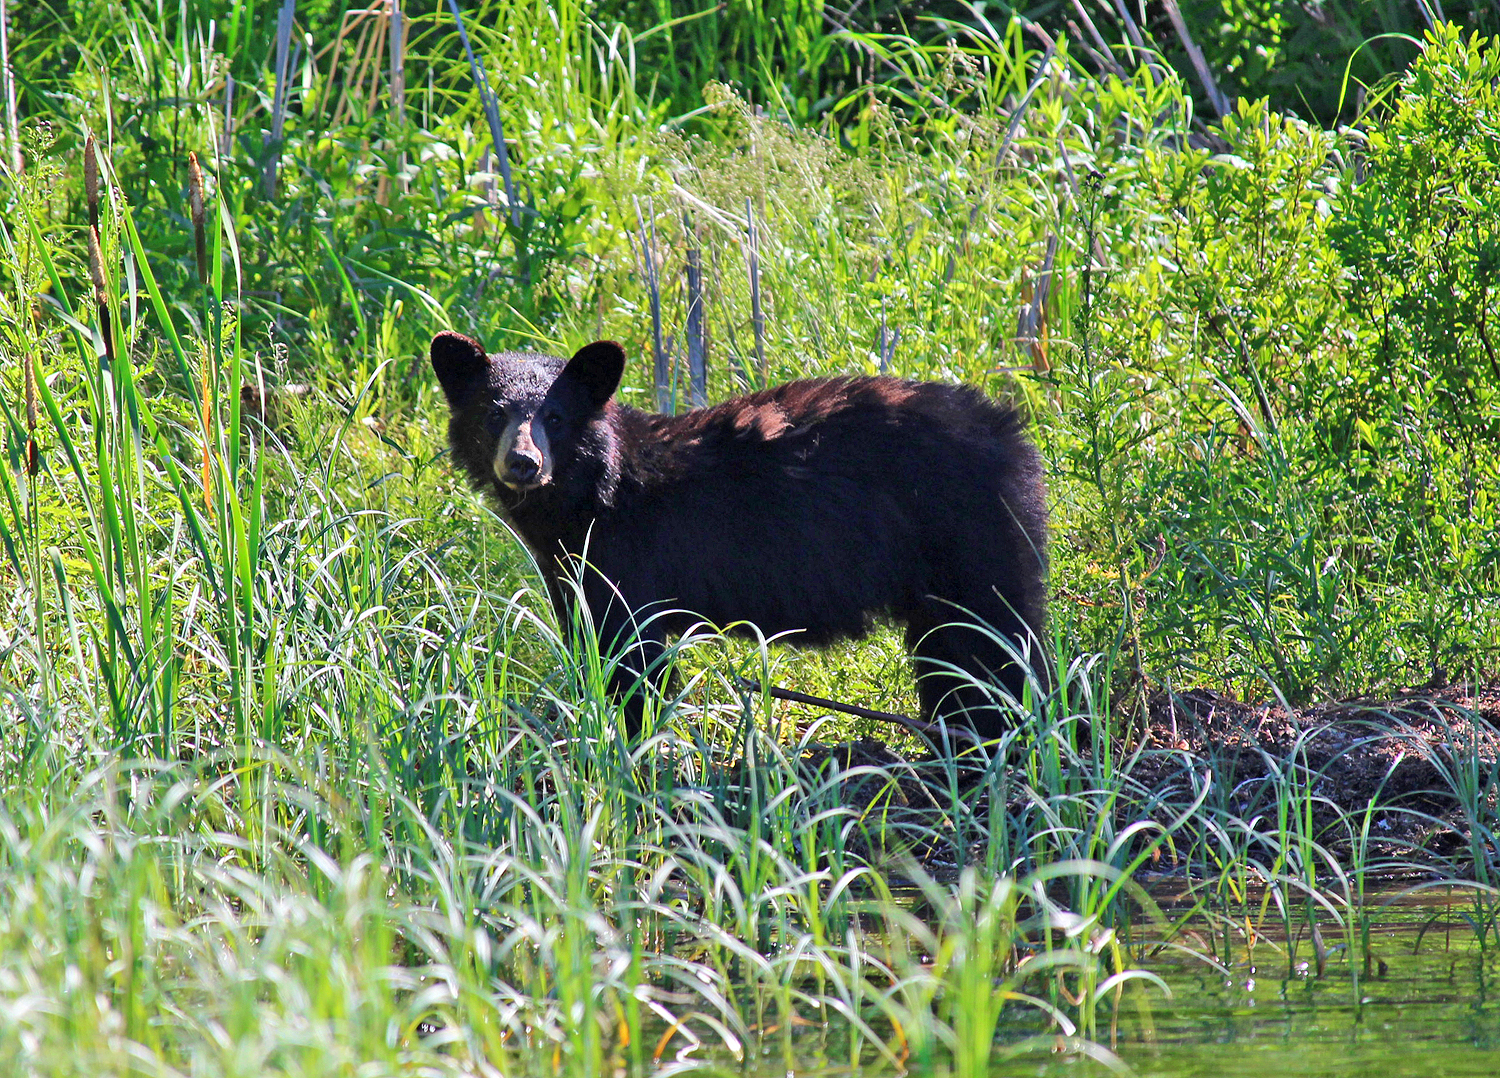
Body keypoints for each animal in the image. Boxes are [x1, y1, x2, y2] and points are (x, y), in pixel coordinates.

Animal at [431, 330, 1050, 742]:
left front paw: (637, 743)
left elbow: (634, 659)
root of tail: (1013, 433)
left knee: (995, 640)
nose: (523, 463)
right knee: (952, 652)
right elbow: (588, 639)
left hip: (971, 536)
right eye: (493, 413)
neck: (591, 498)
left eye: (555, 418)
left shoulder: (631, 562)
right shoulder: (570, 570)